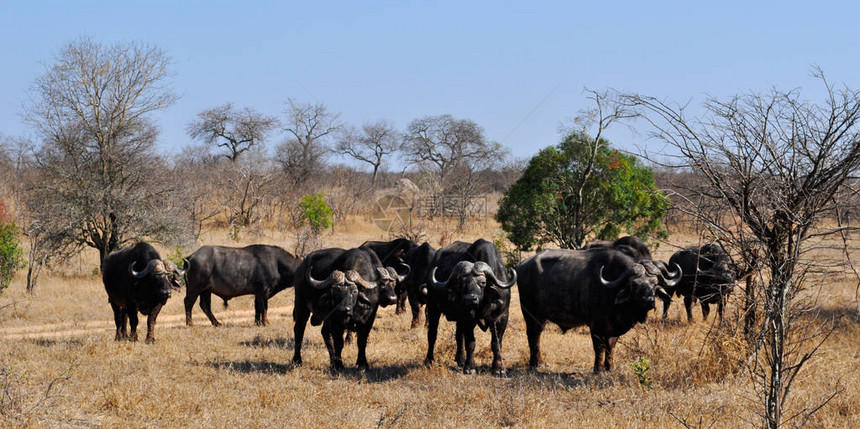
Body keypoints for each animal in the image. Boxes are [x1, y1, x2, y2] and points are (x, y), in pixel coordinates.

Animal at [422, 237, 512, 374]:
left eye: (483, 282)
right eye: (461, 283)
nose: (470, 299)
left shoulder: (502, 316)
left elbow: (496, 343)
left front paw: (498, 368)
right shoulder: (467, 318)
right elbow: (470, 343)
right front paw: (470, 367)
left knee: (458, 336)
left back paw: (460, 360)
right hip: (433, 307)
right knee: (432, 334)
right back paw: (429, 361)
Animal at [512, 247, 680, 372]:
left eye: (654, 283)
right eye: (634, 285)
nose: (648, 301)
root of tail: (523, 265)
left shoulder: (614, 328)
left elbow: (611, 346)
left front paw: (610, 367)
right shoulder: (596, 326)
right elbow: (599, 348)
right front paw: (598, 369)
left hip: (541, 317)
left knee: (537, 335)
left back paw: (539, 362)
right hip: (530, 313)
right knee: (533, 335)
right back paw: (534, 364)